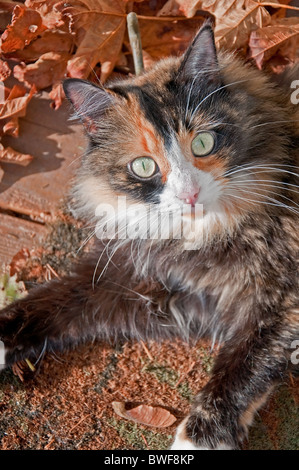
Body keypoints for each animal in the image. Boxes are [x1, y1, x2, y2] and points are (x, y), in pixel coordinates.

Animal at [0, 23, 298, 450]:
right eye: (144, 166)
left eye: (203, 143)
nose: (189, 194)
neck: (198, 239)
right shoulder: (123, 277)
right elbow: (47, 302)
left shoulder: (280, 302)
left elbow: (241, 372)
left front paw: (198, 438)